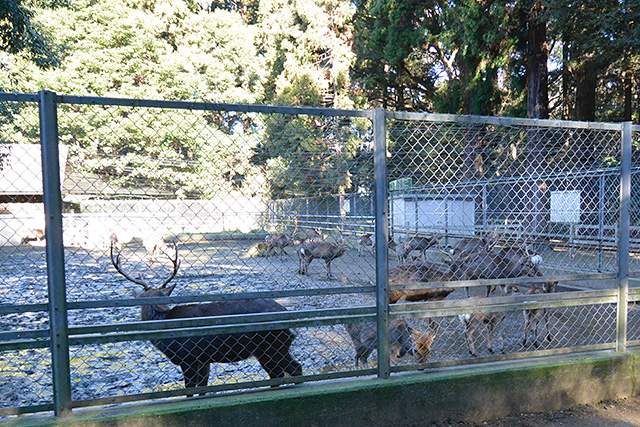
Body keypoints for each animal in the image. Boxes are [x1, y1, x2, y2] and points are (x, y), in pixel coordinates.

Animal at [110, 242, 302, 396]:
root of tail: (292, 324)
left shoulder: (188, 357)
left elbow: (189, 389)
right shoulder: (204, 360)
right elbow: (202, 388)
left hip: (273, 346)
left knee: (295, 368)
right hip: (265, 350)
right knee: (276, 374)